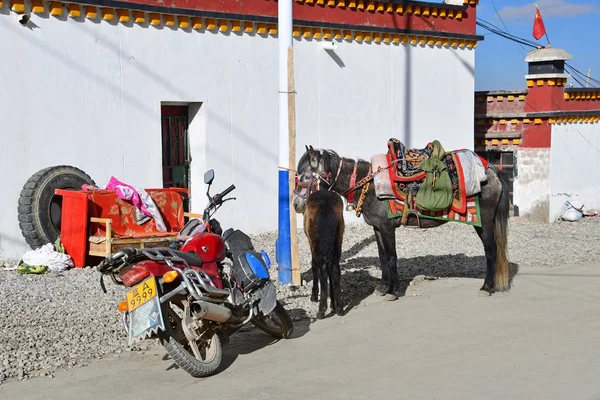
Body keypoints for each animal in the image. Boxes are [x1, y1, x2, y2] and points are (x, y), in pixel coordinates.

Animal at [292, 145, 508, 300]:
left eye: (305, 176)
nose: (296, 204)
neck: (368, 184)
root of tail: (492, 171)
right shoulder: (377, 228)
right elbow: (382, 257)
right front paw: (383, 287)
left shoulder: (387, 227)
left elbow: (391, 256)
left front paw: (393, 291)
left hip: (484, 222)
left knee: (491, 251)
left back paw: (486, 287)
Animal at [300, 188, 346, 318]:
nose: (296, 204)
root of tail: (326, 204)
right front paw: (333, 304)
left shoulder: (311, 245)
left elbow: (314, 266)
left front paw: (314, 295)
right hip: (336, 242)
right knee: (334, 269)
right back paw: (339, 308)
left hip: (316, 245)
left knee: (322, 270)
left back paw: (321, 309)